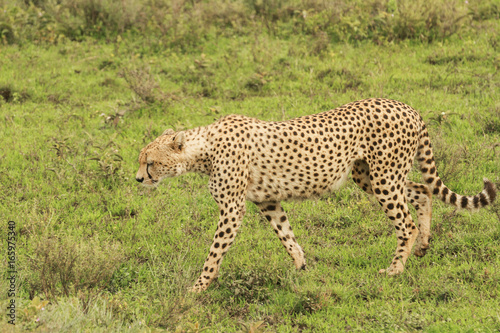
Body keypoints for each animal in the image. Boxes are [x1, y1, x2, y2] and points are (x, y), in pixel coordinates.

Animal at [134, 97, 496, 290]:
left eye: (150, 162)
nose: (138, 179)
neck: (204, 148)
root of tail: (406, 106)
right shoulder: (267, 200)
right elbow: (285, 234)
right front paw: (300, 266)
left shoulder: (233, 209)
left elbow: (214, 252)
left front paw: (198, 288)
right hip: (371, 174)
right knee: (421, 190)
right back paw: (423, 244)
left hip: (383, 176)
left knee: (404, 221)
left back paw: (395, 269)